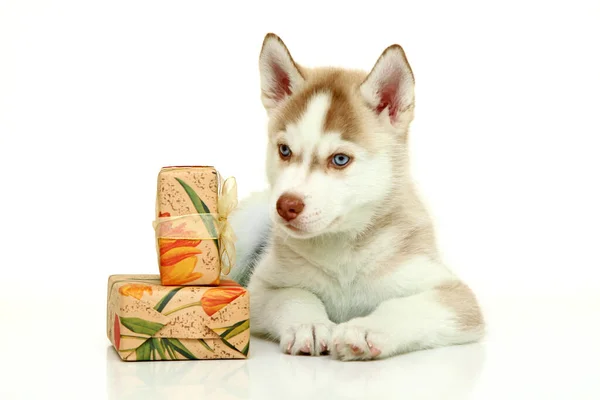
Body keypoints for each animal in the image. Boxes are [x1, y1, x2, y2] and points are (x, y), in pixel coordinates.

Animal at [227, 32, 486, 360]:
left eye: (340, 159)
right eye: (284, 150)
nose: (286, 205)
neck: (342, 252)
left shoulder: (454, 296)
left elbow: (405, 307)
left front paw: (366, 330)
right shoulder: (262, 288)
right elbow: (294, 295)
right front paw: (309, 325)